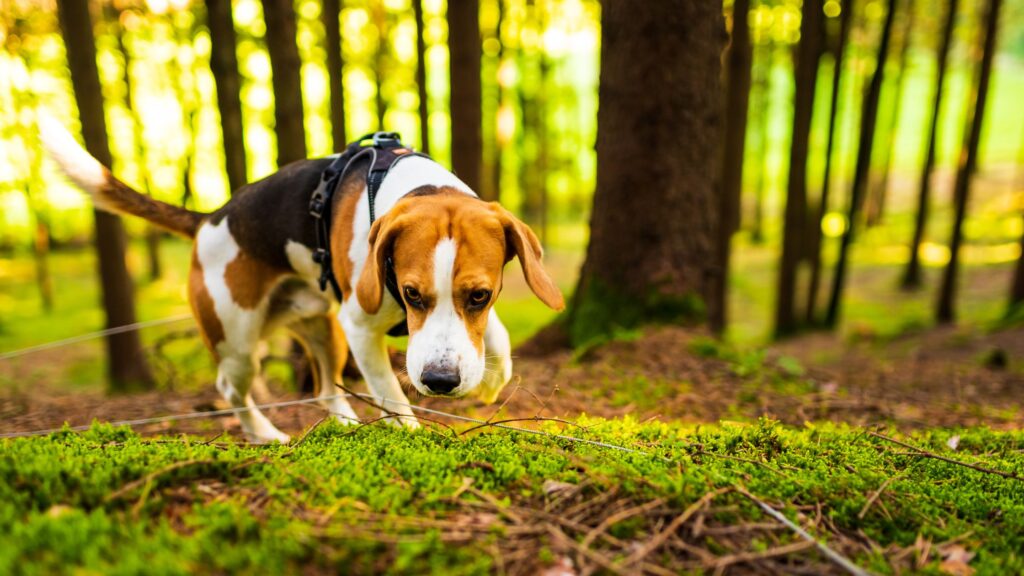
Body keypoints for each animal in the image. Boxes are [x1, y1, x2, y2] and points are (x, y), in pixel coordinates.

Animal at [39, 119, 565, 444]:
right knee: (231, 388)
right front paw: (411, 432)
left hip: (322, 327)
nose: (439, 381)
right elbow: (391, 395)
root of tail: (209, 218)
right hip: (239, 341)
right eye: (411, 294)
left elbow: (496, 338)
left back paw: (343, 423)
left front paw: (492, 377)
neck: (415, 187)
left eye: (480, 294)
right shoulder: (360, 327)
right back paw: (265, 434)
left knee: (325, 389)